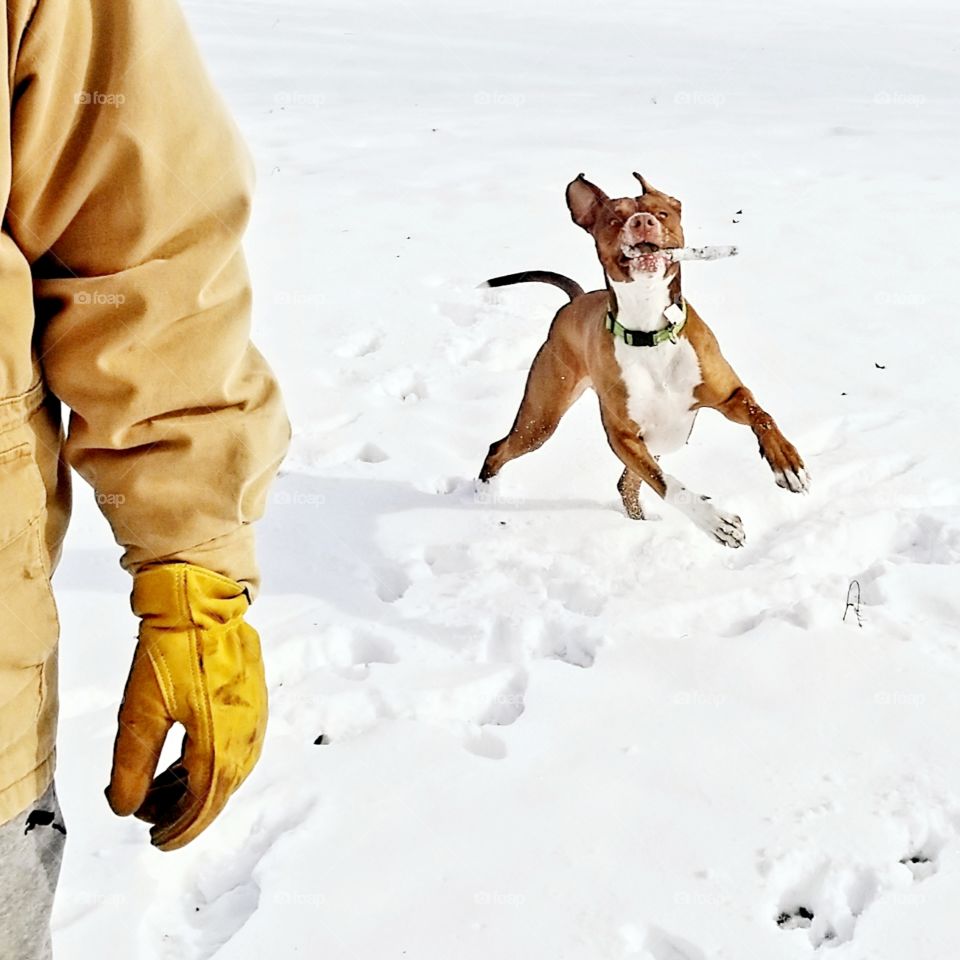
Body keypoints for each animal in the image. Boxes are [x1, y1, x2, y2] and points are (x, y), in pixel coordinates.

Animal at [476, 173, 808, 548]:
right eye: (614, 219)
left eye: (661, 213)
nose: (642, 222)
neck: (650, 330)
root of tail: (575, 301)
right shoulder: (623, 437)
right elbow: (668, 484)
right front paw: (717, 522)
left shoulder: (729, 396)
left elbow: (761, 416)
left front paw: (787, 463)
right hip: (541, 419)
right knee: (499, 448)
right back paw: (484, 496)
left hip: (665, 435)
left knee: (626, 484)